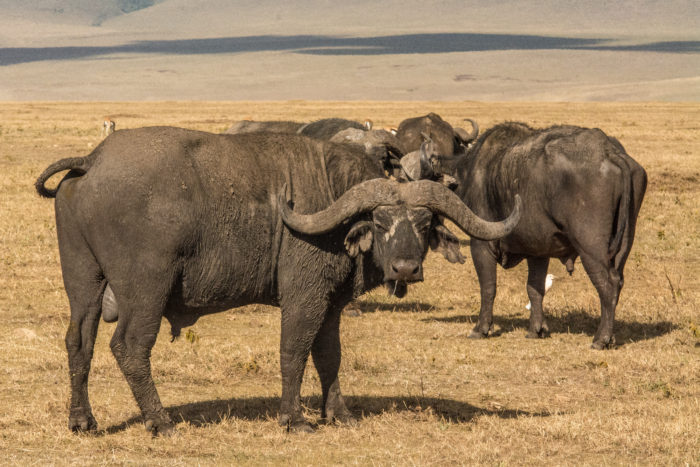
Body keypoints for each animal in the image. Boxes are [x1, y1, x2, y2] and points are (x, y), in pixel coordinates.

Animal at [35, 127, 524, 436]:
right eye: (381, 221)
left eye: (423, 223)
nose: (405, 269)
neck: (332, 198)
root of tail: (93, 160)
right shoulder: (303, 299)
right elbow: (294, 353)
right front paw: (295, 418)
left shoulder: (330, 304)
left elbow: (329, 357)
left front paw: (338, 413)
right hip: (146, 291)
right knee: (130, 348)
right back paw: (160, 421)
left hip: (84, 284)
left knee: (78, 342)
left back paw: (83, 421)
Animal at [430, 122, 648, 350]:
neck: (469, 172)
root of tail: (609, 152)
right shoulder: (538, 252)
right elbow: (534, 289)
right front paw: (536, 329)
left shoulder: (481, 245)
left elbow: (488, 287)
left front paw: (481, 328)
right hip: (623, 244)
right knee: (618, 282)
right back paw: (610, 336)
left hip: (591, 248)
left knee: (608, 284)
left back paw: (601, 339)